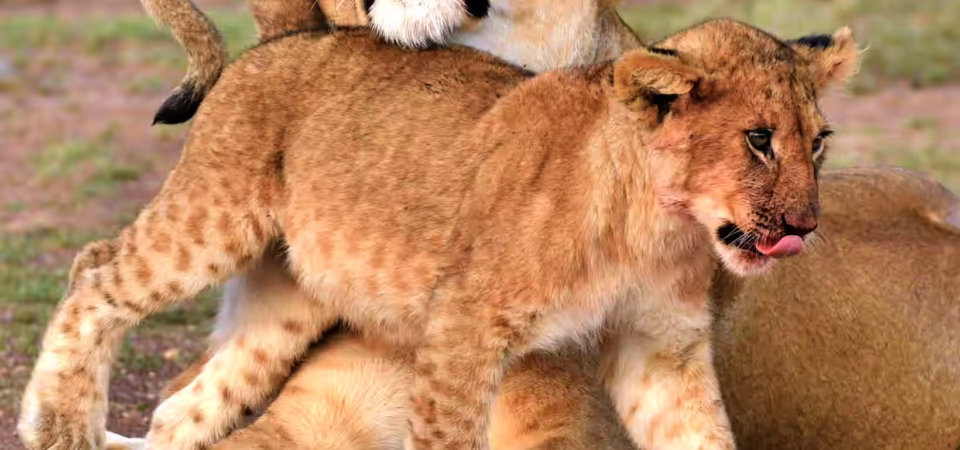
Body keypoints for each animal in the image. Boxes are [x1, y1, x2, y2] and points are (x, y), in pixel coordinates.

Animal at [17, 16, 857, 450]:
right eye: (758, 140)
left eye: (817, 143)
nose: (806, 227)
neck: (659, 228)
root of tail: (300, 31)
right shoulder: (463, 328)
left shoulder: (662, 350)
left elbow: (700, 434)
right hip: (214, 218)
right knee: (94, 272)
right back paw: (57, 424)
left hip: (290, 295)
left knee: (188, 403)